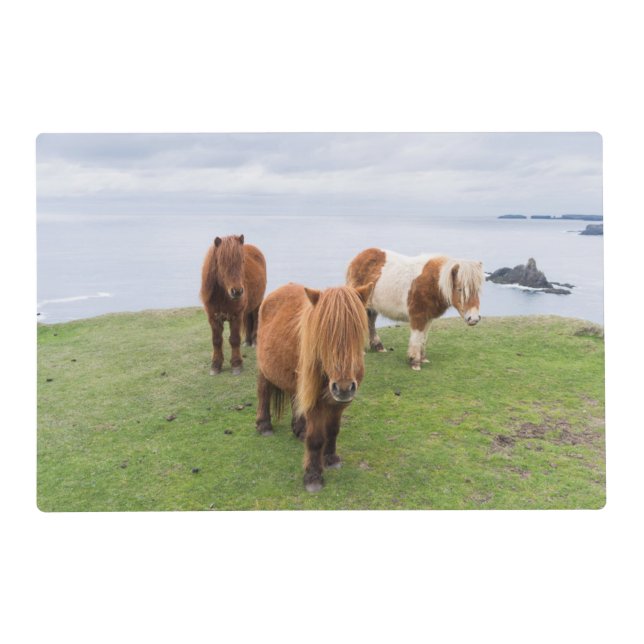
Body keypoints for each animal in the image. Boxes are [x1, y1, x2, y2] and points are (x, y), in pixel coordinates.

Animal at [200, 234, 266, 375]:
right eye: (221, 262)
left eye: (242, 261)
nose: (237, 291)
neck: (222, 296)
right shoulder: (213, 318)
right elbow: (216, 341)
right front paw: (215, 365)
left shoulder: (236, 316)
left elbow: (234, 339)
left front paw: (236, 365)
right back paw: (247, 341)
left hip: (257, 303)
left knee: (256, 318)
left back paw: (254, 341)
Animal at [255, 281, 373, 492]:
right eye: (324, 336)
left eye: (357, 332)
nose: (343, 387)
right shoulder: (316, 403)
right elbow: (316, 439)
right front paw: (313, 476)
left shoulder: (339, 404)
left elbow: (333, 430)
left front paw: (331, 458)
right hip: (264, 370)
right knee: (263, 393)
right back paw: (264, 425)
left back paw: (299, 429)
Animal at [346, 248, 484, 371]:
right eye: (460, 289)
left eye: (477, 290)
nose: (473, 319)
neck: (434, 283)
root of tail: (358, 258)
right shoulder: (418, 316)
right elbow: (417, 338)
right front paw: (415, 362)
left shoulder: (428, 318)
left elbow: (423, 338)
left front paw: (423, 358)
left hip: (372, 307)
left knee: (370, 322)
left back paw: (378, 346)